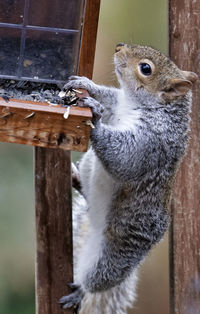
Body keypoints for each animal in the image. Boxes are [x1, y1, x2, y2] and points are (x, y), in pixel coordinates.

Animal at [58, 42, 198, 314]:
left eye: (145, 68)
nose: (118, 47)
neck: (137, 105)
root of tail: (94, 222)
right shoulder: (117, 104)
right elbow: (108, 96)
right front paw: (86, 84)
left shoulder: (151, 143)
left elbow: (124, 159)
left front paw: (96, 121)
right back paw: (76, 178)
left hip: (115, 254)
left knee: (98, 279)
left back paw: (80, 291)